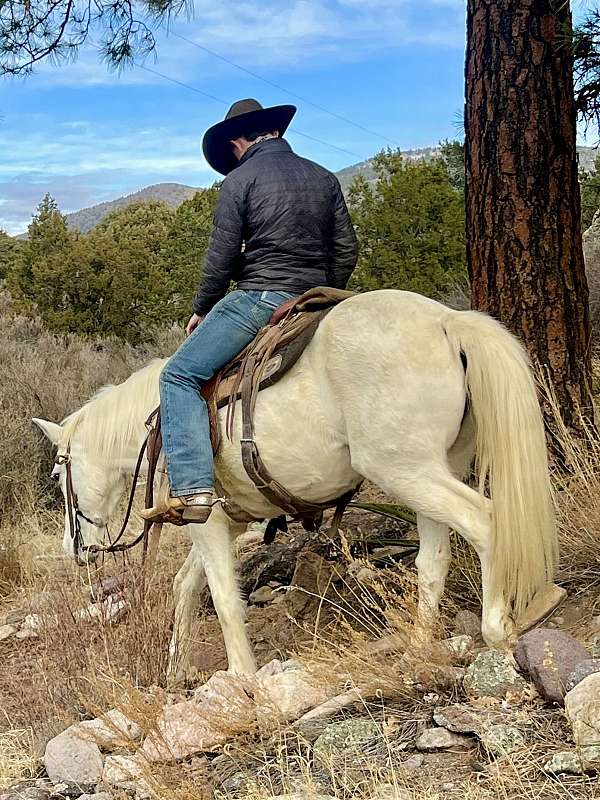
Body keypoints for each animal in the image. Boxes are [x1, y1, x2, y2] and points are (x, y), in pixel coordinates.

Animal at [32, 290, 556, 680]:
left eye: (58, 476)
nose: (72, 549)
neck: (156, 422)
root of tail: (447, 321)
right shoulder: (228, 520)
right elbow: (187, 583)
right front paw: (176, 670)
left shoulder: (205, 518)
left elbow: (223, 596)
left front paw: (242, 679)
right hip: (432, 471)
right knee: (433, 557)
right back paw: (418, 645)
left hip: (406, 470)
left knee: (485, 521)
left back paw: (497, 627)